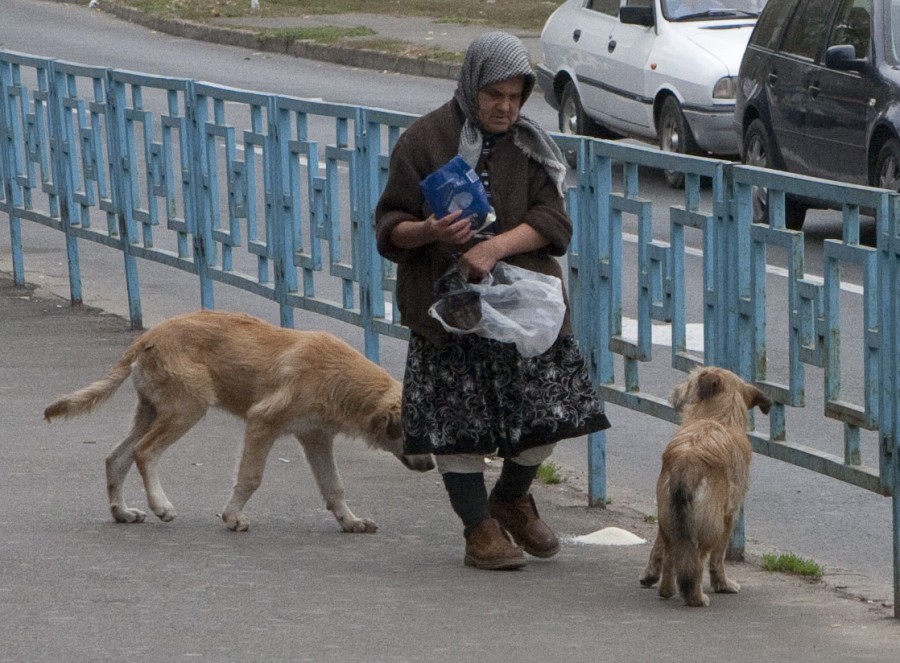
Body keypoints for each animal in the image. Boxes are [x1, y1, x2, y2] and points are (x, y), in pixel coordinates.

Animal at [44, 312, 434, 536]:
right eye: (417, 438)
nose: (431, 466)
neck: (339, 377)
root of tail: (147, 337)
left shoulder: (316, 436)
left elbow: (334, 486)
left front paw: (350, 521)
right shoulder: (262, 422)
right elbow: (251, 477)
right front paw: (232, 517)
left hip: (154, 410)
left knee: (116, 457)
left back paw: (122, 513)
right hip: (188, 407)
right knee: (143, 452)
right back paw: (160, 506)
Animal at [636, 366, 768, 608]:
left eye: (689, 381)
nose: (674, 391)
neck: (720, 418)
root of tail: (688, 464)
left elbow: (658, 549)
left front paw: (649, 575)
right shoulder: (729, 517)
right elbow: (718, 559)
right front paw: (723, 585)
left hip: (668, 517)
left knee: (671, 554)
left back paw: (667, 590)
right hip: (711, 527)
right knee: (697, 560)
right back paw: (696, 597)